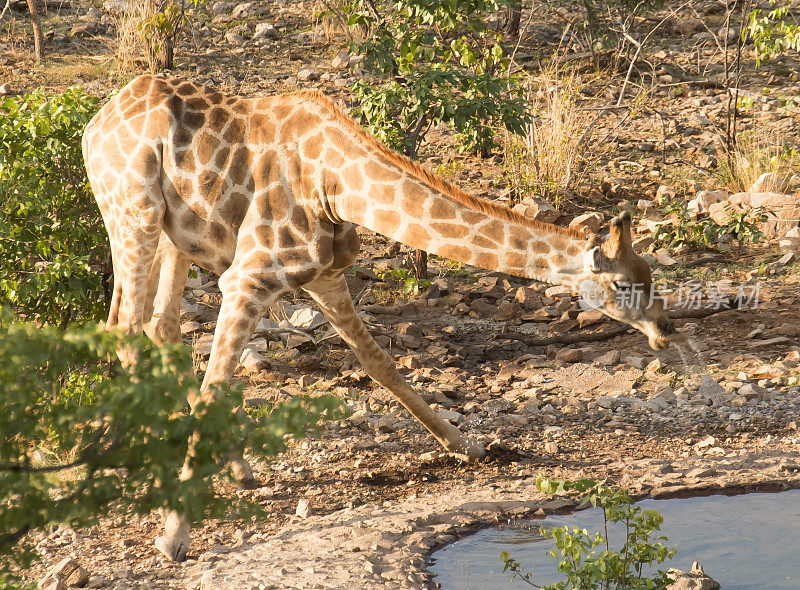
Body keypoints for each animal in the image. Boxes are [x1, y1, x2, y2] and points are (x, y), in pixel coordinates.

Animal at [83, 75, 680, 564]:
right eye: (623, 285)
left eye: (649, 273)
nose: (664, 329)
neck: (337, 183)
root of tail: (95, 124)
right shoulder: (247, 278)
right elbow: (216, 385)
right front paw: (173, 536)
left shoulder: (324, 274)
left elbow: (380, 363)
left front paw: (466, 445)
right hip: (132, 212)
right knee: (127, 328)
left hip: (170, 232)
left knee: (158, 326)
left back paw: (233, 468)